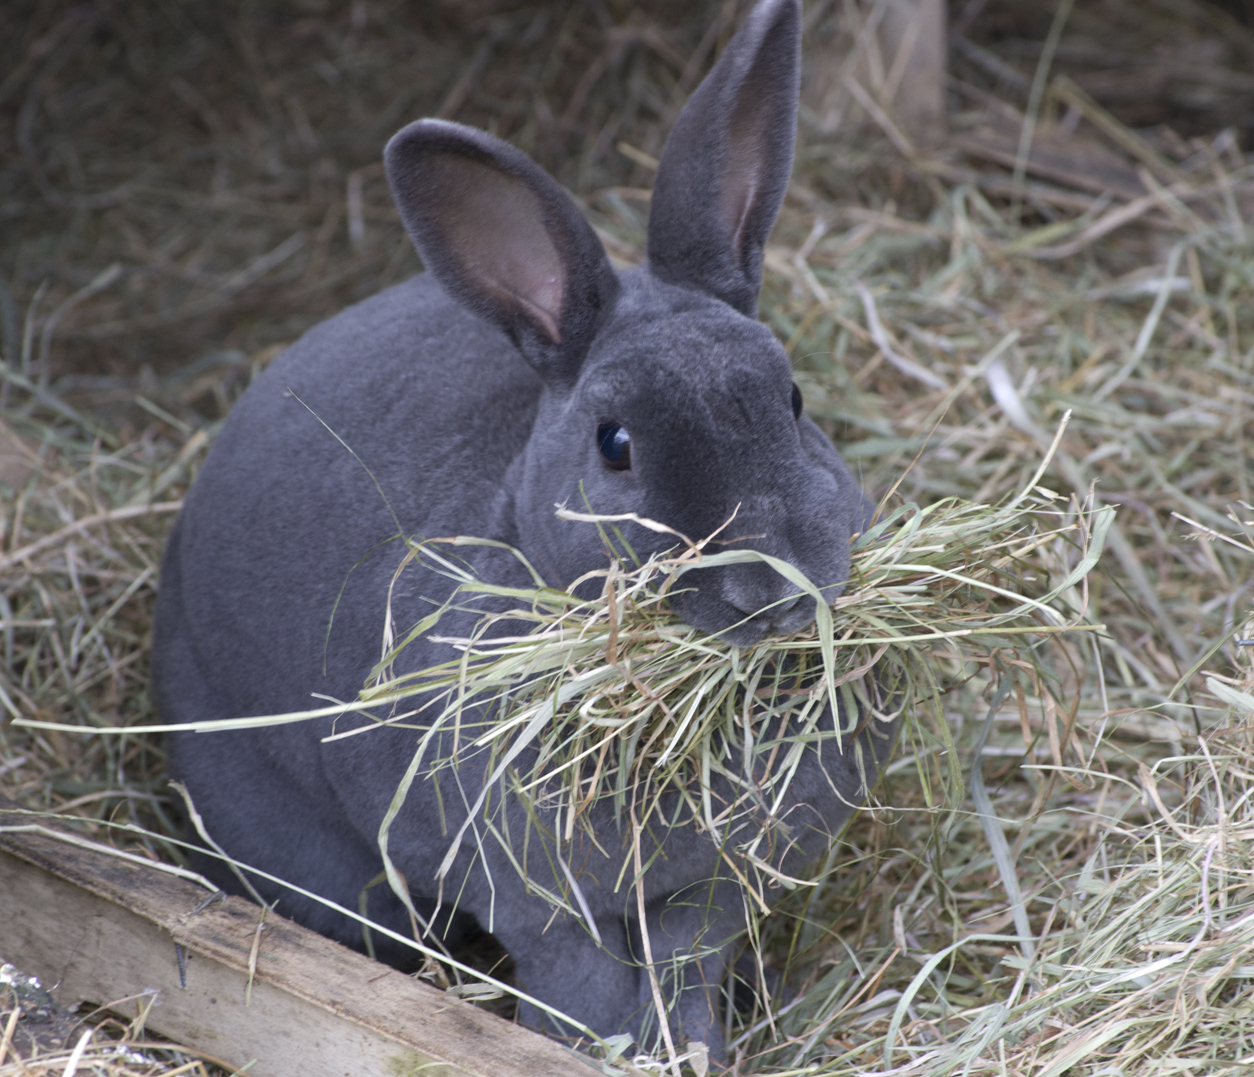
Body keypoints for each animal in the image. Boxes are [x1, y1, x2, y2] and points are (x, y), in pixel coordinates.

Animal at [154, 0, 902, 1063]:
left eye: (791, 401)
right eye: (615, 443)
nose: (769, 585)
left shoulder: (714, 884)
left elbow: (687, 961)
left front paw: (691, 1049)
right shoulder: (527, 893)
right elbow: (578, 977)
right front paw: (588, 1047)